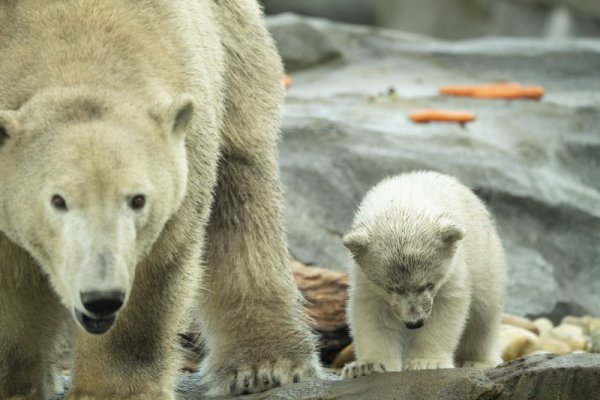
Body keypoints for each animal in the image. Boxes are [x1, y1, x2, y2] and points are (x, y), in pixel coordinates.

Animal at [0, 0, 318, 400]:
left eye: (138, 200)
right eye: (58, 201)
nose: (100, 297)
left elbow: (153, 272)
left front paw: (113, 390)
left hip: (235, 51)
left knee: (241, 189)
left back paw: (265, 363)